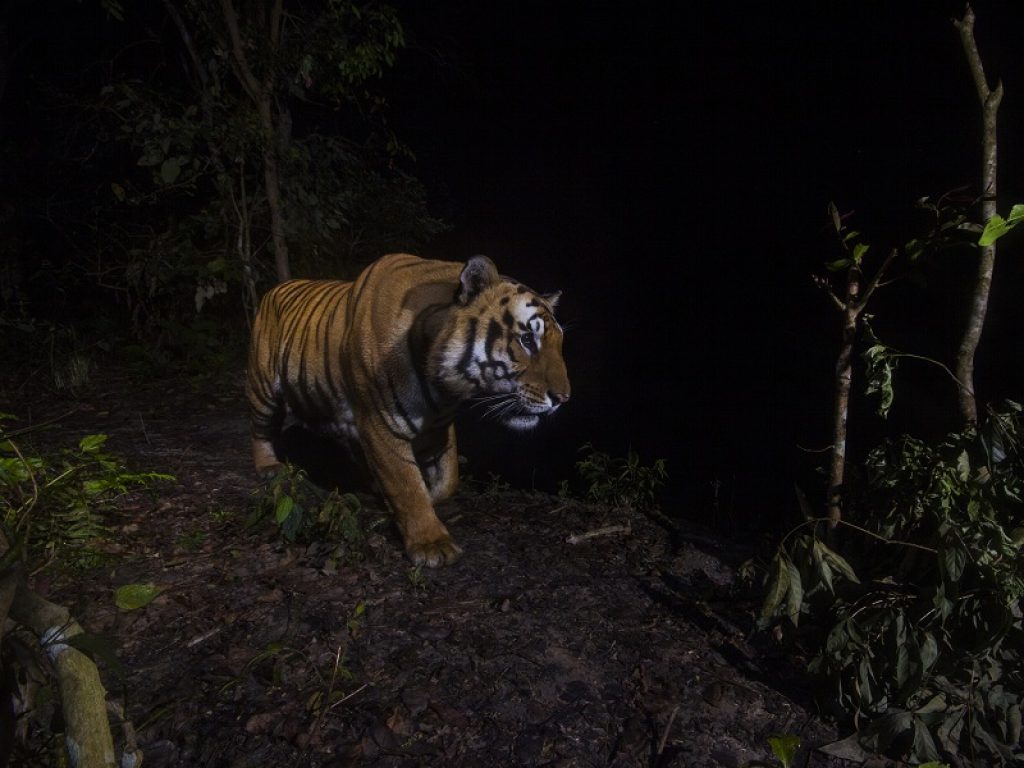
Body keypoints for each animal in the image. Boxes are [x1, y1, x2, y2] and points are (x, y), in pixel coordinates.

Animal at [246, 253, 570, 567]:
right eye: (527, 339)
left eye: (559, 343)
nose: (563, 399)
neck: (443, 387)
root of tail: (275, 288)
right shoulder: (379, 422)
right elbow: (406, 485)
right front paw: (431, 545)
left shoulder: (437, 426)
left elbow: (448, 478)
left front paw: (429, 500)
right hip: (263, 387)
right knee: (260, 429)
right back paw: (268, 467)